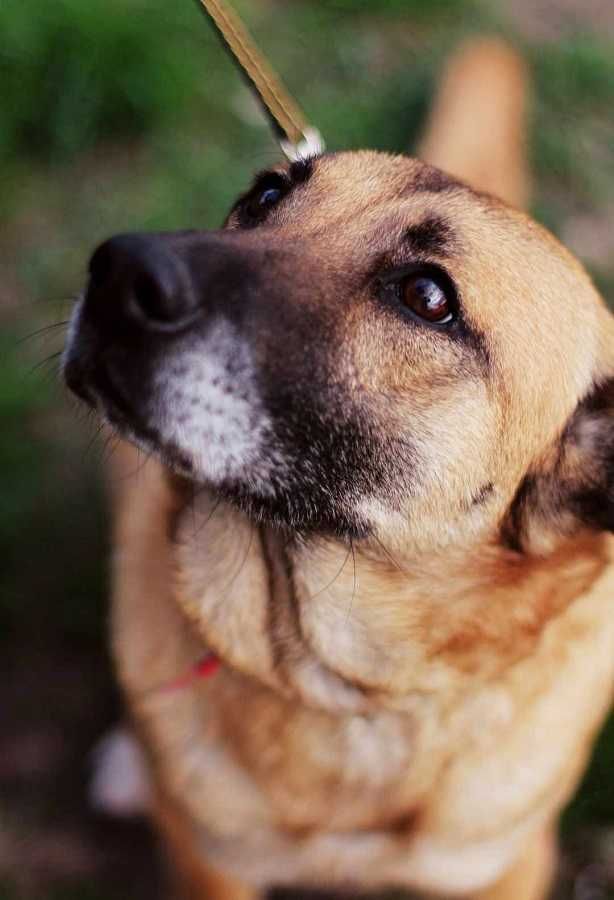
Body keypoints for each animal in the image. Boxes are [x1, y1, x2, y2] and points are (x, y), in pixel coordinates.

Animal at [61, 40, 614, 900]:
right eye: (265, 195)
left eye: (428, 295)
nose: (117, 270)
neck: (345, 695)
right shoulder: (210, 864)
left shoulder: (506, 866)